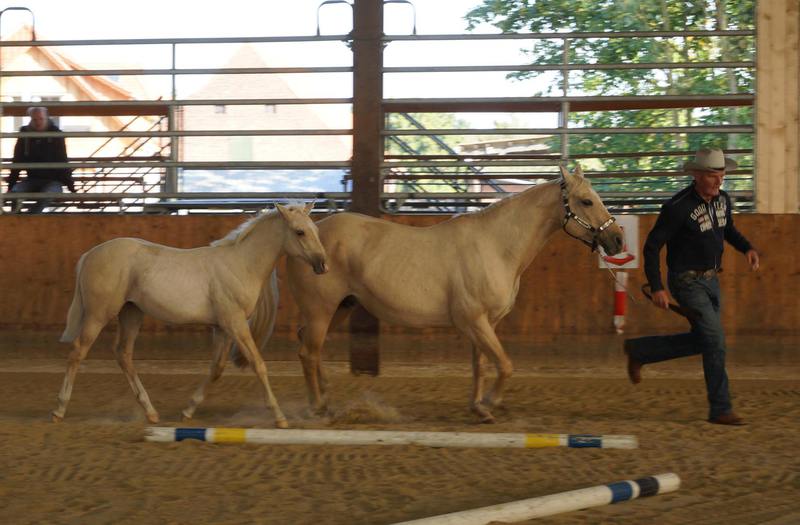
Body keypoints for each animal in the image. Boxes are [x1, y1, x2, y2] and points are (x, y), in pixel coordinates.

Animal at [53, 203, 327, 428]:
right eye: (300, 232)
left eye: (315, 229)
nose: (322, 264)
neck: (240, 264)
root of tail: (90, 254)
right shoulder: (235, 323)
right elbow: (258, 364)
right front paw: (279, 417)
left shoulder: (223, 328)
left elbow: (216, 369)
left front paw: (187, 411)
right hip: (98, 315)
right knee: (77, 352)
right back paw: (59, 410)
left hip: (131, 313)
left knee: (123, 354)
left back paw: (151, 413)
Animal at [281, 164, 624, 423]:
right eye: (586, 201)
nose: (617, 239)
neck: (495, 246)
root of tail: (308, 237)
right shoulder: (473, 321)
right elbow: (505, 365)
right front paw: (491, 403)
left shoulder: (484, 323)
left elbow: (481, 366)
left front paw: (479, 409)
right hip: (321, 309)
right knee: (308, 352)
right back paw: (317, 407)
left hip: (340, 308)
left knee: (310, 347)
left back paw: (326, 397)